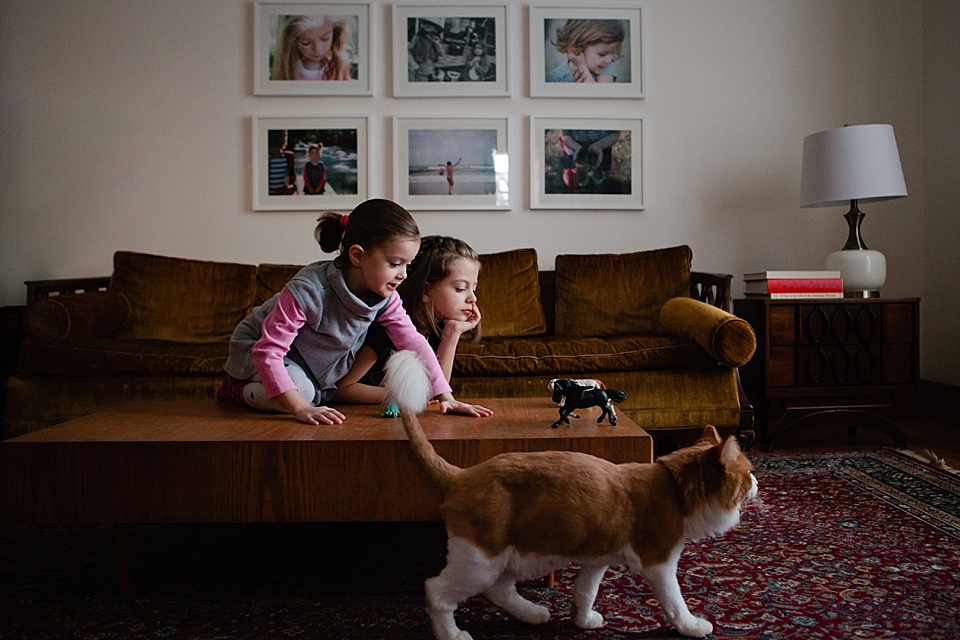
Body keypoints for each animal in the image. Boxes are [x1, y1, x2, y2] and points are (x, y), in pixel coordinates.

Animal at [382, 350, 756, 640]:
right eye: (748, 472)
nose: (757, 482)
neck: (673, 486)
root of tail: (463, 474)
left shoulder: (597, 558)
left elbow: (584, 592)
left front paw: (582, 619)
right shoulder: (659, 563)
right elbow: (675, 602)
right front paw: (692, 626)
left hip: (513, 558)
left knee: (498, 589)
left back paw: (534, 614)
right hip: (480, 561)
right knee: (437, 592)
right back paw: (452, 633)